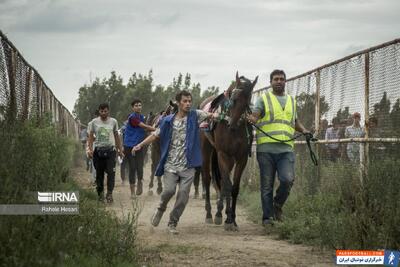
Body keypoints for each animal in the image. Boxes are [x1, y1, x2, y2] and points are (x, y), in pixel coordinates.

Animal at [199, 72, 256, 231]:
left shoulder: (242, 158)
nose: (233, 125)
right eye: (234, 99)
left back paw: (220, 211)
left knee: (222, 182)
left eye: (247, 102)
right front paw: (228, 218)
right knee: (208, 178)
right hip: (206, 150)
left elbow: (234, 187)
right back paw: (210, 214)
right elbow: (227, 185)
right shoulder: (223, 154)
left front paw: (232, 219)